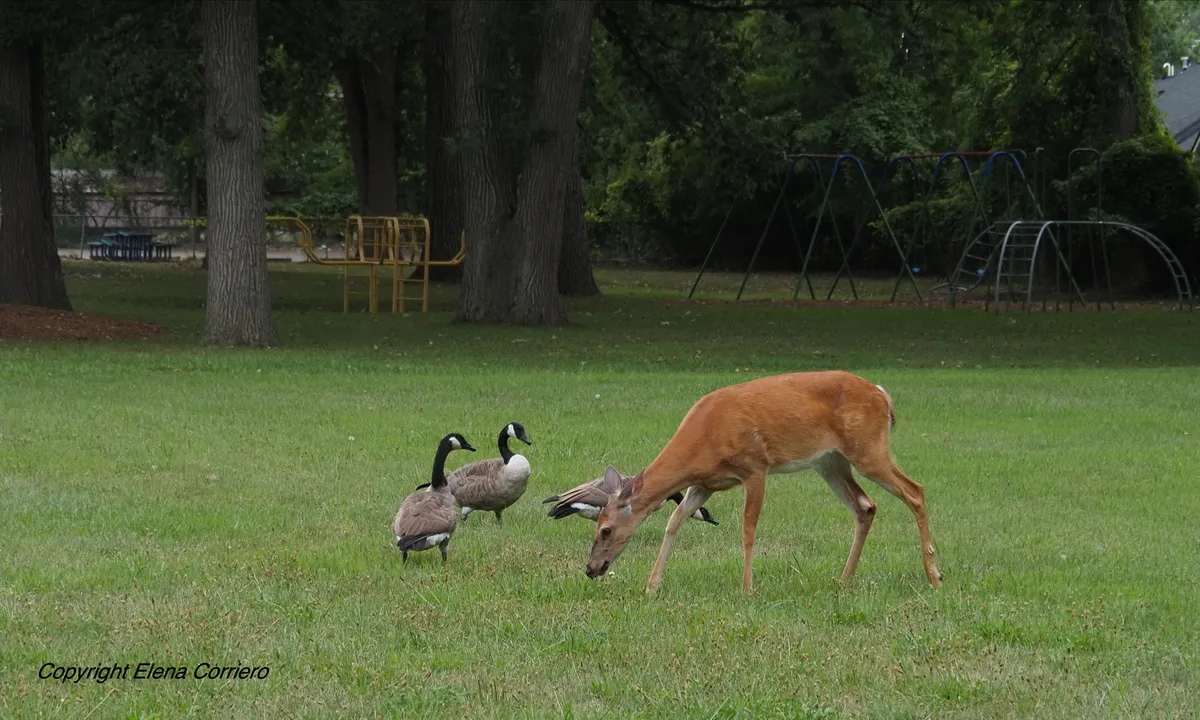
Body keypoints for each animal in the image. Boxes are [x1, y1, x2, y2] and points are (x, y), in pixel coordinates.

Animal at [584, 370, 943, 594]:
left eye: (606, 530)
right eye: (597, 527)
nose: (590, 568)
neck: (704, 440)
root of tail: (882, 395)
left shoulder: (755, 468)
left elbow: (748, 529)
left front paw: (747, 588)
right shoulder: (704, 484)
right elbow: (674, 520)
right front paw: (652, 585)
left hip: (868, 449)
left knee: (916, 491)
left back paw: (934, 576)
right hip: (830, 462)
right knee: (866, 506)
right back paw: (843, 580)